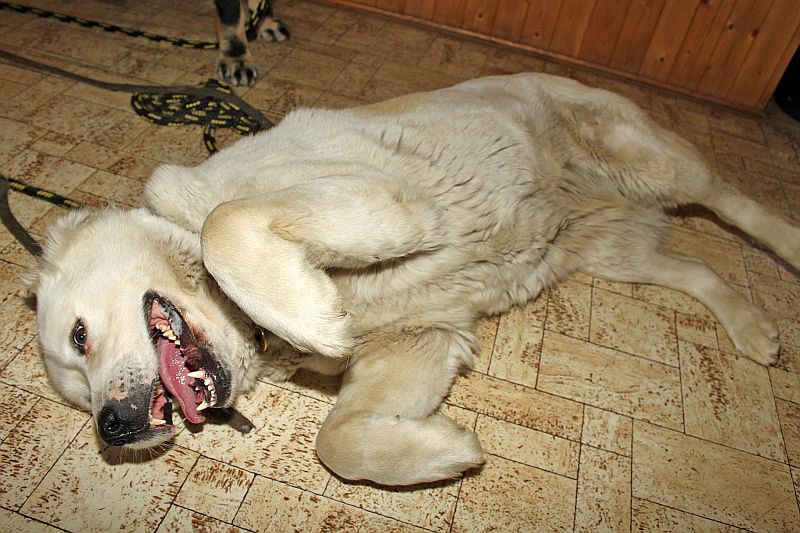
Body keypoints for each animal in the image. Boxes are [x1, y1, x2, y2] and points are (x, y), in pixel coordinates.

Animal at [27, 73, 799, 486]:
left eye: (81, 335)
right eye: (78, 393)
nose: (114, 427)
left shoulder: (385, 200)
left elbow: (226, 224)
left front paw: (311, 312)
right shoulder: (422, 339)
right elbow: (338, 439)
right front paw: (447, 451)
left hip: (648, 163)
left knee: (730, 197)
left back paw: (787, 242)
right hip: (605, 247)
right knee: (695, 266)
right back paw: (753, 329)